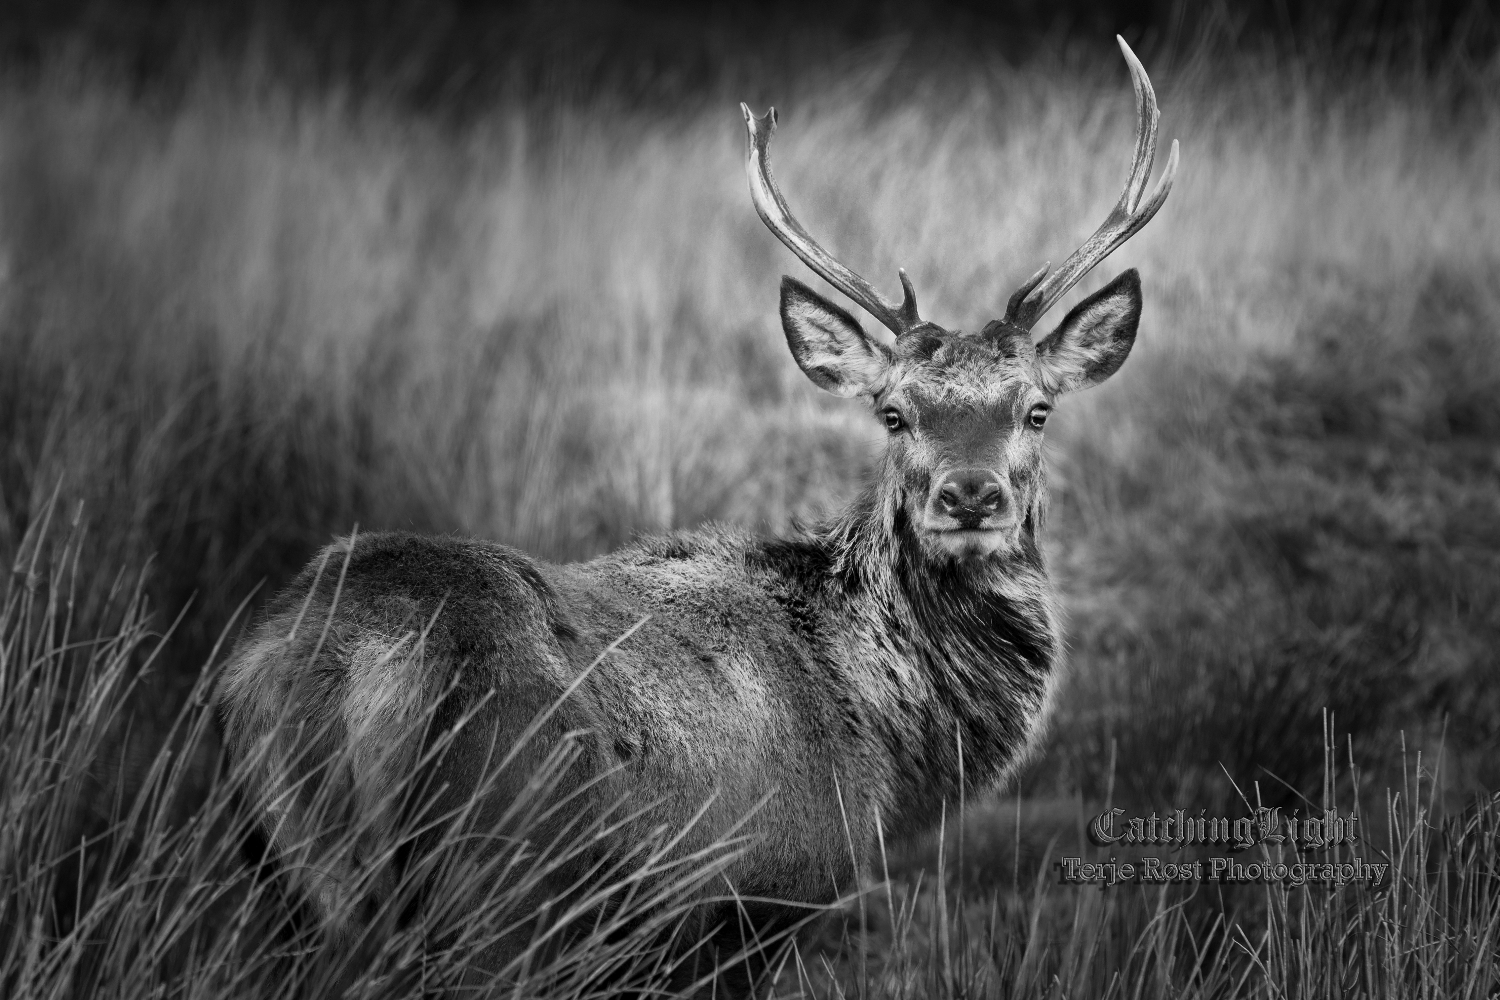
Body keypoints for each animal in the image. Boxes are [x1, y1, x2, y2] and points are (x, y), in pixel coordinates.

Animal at [218, 35, 1176, 998]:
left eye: (1037, 409)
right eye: (893, 413)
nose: (971, 495)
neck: (884, 737)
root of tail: (356, 663)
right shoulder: (765, 895)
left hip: (280, 875)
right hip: (504, 884)